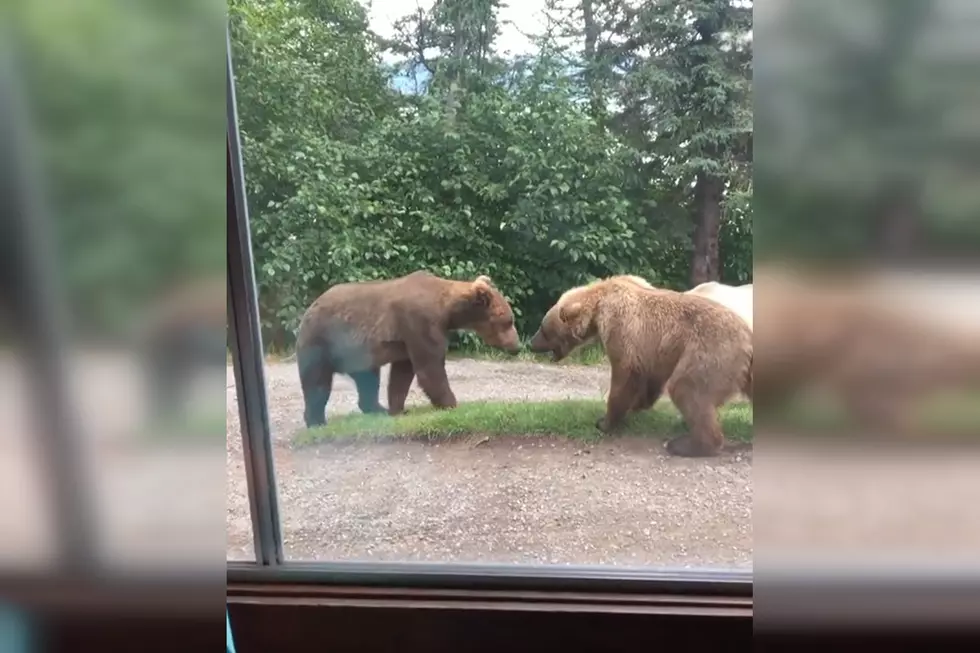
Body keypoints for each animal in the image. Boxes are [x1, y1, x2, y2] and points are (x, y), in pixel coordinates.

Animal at [294, 270, 520, 428]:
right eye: (508, 321)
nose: (517, 346)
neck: (447, 310)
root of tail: (309, 309)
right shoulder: (420, 323)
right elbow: (430, 368)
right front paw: (452, 404)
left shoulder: (407, 339)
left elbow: (402, 374)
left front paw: (398, 409)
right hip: (321, 342)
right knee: (317, 382)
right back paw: (316, 421)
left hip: (359, 353)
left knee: (368, 379)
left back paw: (377, 409)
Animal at [528, 274, 752, 454]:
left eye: (543, 329)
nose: (531, 342)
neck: (598, 307)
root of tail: (748, 336)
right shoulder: (654, 350)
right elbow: (650, 377)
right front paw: (638, 405)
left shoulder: (622, 327)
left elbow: (624, 374)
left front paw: (605, 421)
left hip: (710, 352)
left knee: (686, 388)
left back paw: (685, 445)